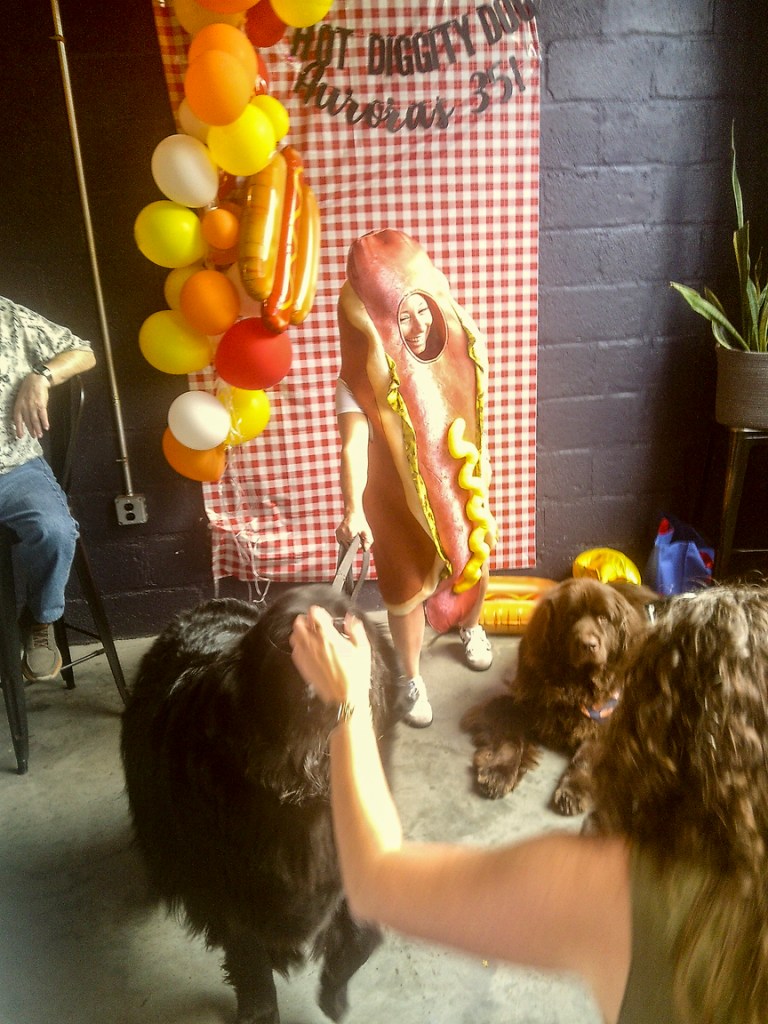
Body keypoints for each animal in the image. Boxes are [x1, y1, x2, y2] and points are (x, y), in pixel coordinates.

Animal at [120, 585, 410, 1024]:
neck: (305, 789)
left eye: (353, 621)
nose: (335, 632)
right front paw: (261, 1007)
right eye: (289, 634)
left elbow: (363, 932)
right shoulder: (226, 885)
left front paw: (335, 991)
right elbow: (249, 958)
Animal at [460, 577, 657, 814]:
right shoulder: (515, 704)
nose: (588, 644)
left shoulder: (608, 716)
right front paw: (498, 773)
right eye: (571, 616)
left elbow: (587, 755)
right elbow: (510, 738)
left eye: (603, 618)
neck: (573, 684)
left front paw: (573, 790)